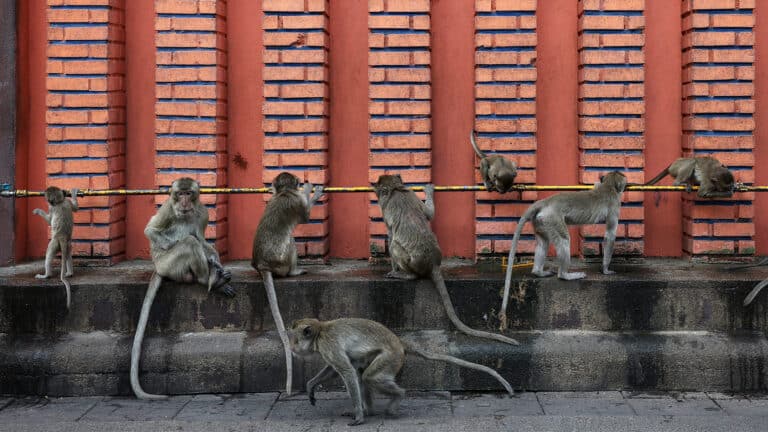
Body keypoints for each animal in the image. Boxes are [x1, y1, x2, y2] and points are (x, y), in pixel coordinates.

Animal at [131, 177, 234, 400]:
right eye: (180, 193)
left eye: (189, 193)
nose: (185, 202)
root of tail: (157, 267)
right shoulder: (168, 209)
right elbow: (151, 230)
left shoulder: (203, 213)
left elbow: (202, 239)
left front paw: (215, 261)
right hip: (168, 265)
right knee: (188, 242)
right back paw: (207, 279)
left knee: (194, 241)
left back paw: (214, 276)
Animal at [252, 170, 324, 396]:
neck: (284, 193)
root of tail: (262, 264)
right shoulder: (296, 202)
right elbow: (306, 216)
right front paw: (311, 190)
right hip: (281, 261)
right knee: (291, 240)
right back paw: (295, 271)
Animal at [288, 318, 516, 426]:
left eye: (295, 339)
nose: (291, 348)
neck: (320, 331)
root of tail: (399, 342)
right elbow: (337, 370)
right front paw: (310, 386)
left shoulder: (329, 344)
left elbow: (346, 371)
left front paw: (360, 417)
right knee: (362, 374)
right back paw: (370, 410)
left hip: (391, 357)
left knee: (368, 377)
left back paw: (396, 397)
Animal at [376, 174, 520, 346]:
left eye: (379, 190)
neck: (396, 190)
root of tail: (433, 262)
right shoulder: (411, 194)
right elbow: (429, 214)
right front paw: (429, 191)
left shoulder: (387, 207)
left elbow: (391, 236)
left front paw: (393, 269)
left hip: (414, 263)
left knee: (395, 245)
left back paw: (407, 275)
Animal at [498, 170, 632, 330]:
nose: (627, 184)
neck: (608, 186)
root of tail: (546, 202)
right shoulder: (614, 204)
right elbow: (610, 235)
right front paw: (606, 269)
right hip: (552, 219)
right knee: (563, 240)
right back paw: (565, 275)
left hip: (541, 221)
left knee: (543, 242)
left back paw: (538, 272)